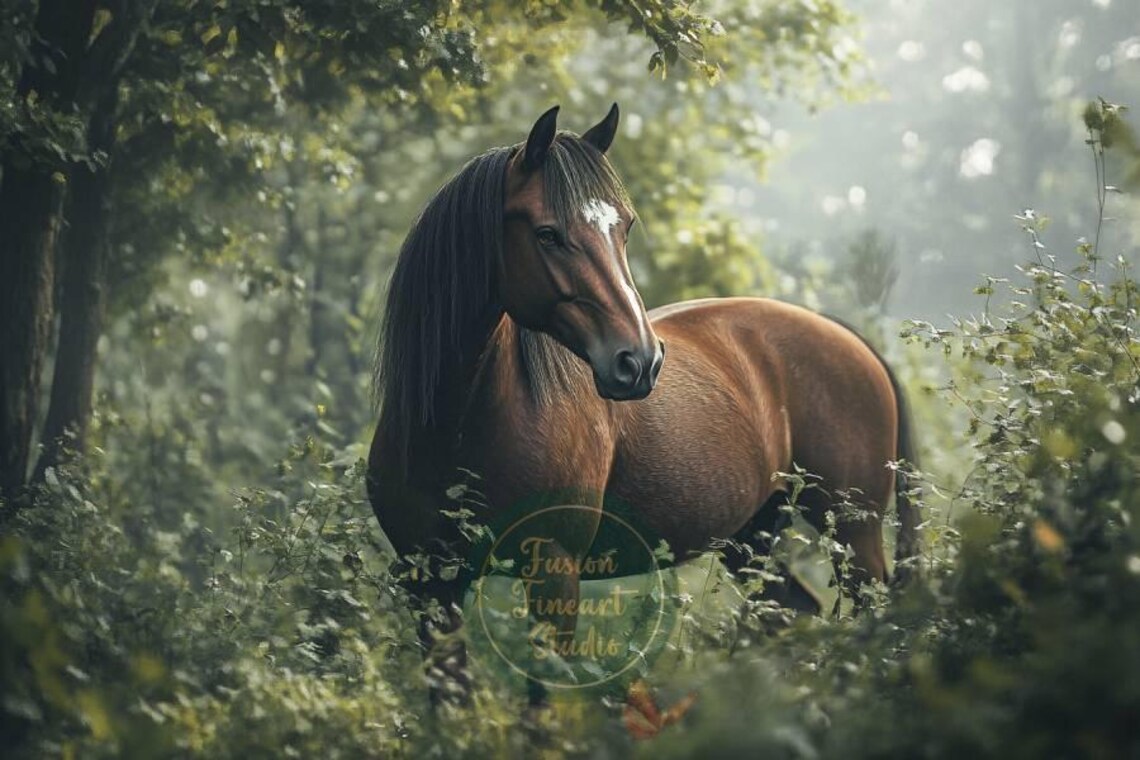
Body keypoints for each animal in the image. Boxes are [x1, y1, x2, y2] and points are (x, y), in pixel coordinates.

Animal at [367, 103, 921, 707]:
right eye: (547, 234)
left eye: (624, 227)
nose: (639, 361)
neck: (460, 424)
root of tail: (849, 339)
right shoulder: (428, 585)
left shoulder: (553, 577)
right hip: (751, 537)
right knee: (790, 614)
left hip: (854, 536)